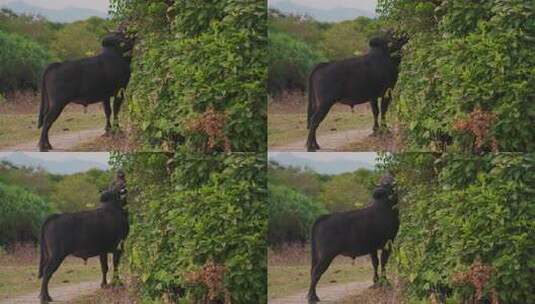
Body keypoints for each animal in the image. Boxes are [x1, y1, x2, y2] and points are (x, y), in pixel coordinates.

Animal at [308, 172, 400, 302]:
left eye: (390, 183)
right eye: (385, 184)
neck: (385, 207)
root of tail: (324, 217)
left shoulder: (372, 247)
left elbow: (375, 263)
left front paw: (376, 283)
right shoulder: (388, 243)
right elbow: (383, 262)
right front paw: (385, 282)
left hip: (318, 255)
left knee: (312, 271)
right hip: (326, 255)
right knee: (316, 272)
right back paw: (312, 297)